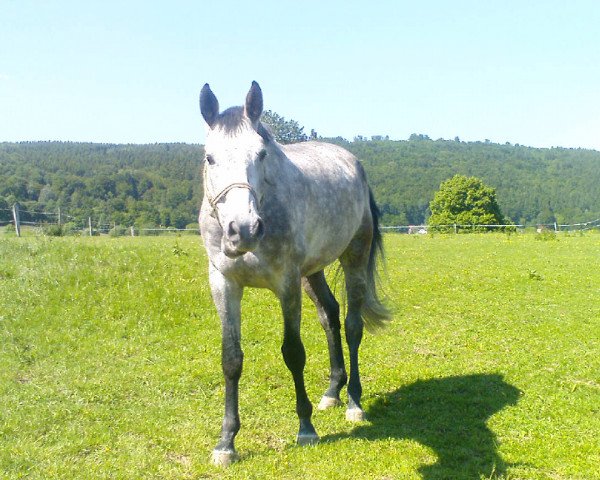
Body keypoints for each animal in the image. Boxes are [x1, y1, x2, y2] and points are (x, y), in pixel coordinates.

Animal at [199, 82, 392, 464]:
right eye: (209, 158)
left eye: (261, 154)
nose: (243, 230)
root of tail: (354, 164)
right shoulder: (224, 284)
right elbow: (231, 358)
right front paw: (226, 442)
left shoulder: (286, 283)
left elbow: (293, 352)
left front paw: (305, 428)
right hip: (312, 273)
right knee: (330, 315)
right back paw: (332, 391)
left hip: (353, 259)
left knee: (352, 326)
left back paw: (354, 402)